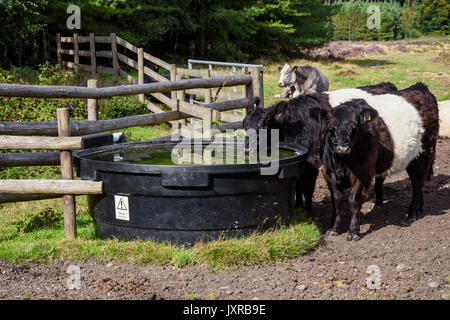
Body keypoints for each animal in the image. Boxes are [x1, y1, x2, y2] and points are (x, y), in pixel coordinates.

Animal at [243, 82, 398, 212]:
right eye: (244, 125)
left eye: (263, 125)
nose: (246, 147)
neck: (293, 126)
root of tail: (386, 85)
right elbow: (297, 185)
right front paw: (298, 206)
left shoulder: (312, 161)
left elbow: (308, 187)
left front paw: (308, 210)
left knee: (381, 175)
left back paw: (377, 201)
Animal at [312, 82, 440, 240]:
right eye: (330, 126)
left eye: (355, 126)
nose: (343, 148)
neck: (340, 163)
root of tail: (420, 87)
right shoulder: (328, 173)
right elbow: (337, 200)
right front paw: (334, 228)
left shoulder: (362, 174)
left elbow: (353, 201)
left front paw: (353, 231)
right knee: (419, 183)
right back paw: (419, 208)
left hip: (423, 155)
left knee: (417, 183)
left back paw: (412, 213)